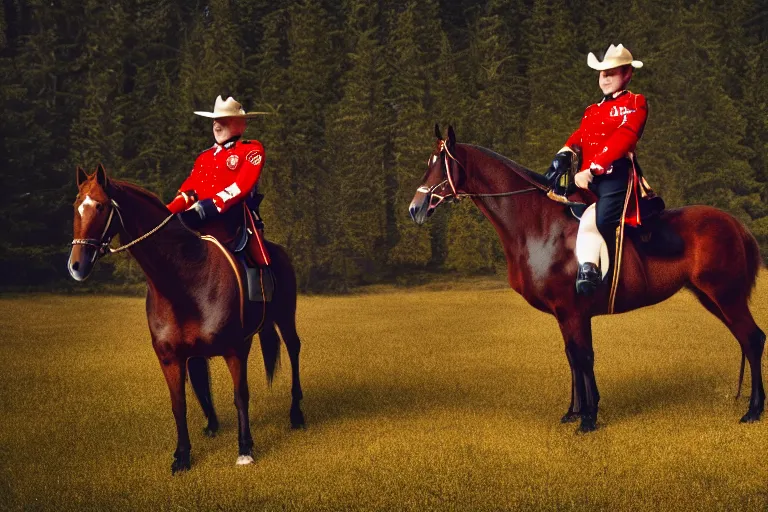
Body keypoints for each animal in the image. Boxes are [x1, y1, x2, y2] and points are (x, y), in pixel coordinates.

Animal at [67, 164, 304, 472]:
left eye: (100, 206)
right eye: (76, 206)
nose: (76, 265)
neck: (185, 278)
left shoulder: (235, 349)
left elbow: (240, 396)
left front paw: (244, 449)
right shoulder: (169, 357)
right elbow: (179, 403)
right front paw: (182, 455)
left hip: (285, 317)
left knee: (294, 348)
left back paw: (296, 413)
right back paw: (212, 424)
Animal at [412, 125, 764, 432]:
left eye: (441, 165)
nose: (416, 208)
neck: (540, 225)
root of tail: (734, 222)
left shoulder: (573, 311)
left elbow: (583, 358)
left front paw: (589, 418)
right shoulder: (566, 314)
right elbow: (573, 358)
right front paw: (575, 411)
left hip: (726, 295)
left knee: (753, 339)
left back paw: (754, 410)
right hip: (713, 298)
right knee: (745, 339)